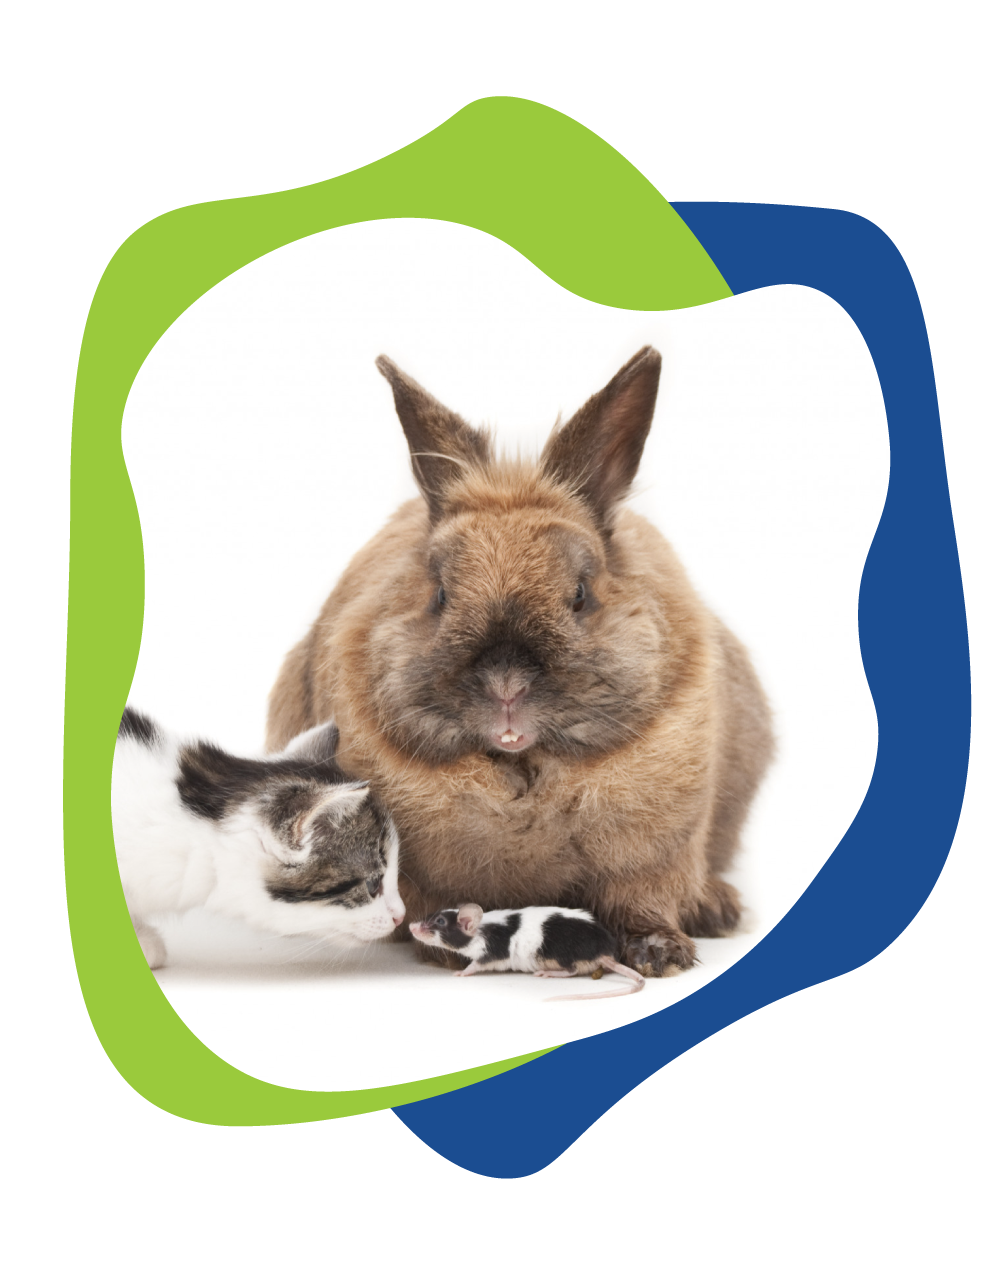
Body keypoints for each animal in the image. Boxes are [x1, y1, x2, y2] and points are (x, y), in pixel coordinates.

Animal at [265, 348, 774, 976]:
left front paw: (661, 954)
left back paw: (718, 909)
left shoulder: (653, 855)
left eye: (580, 594)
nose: (506, 687)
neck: (525, 770)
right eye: (440, 595)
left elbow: (642, 902)